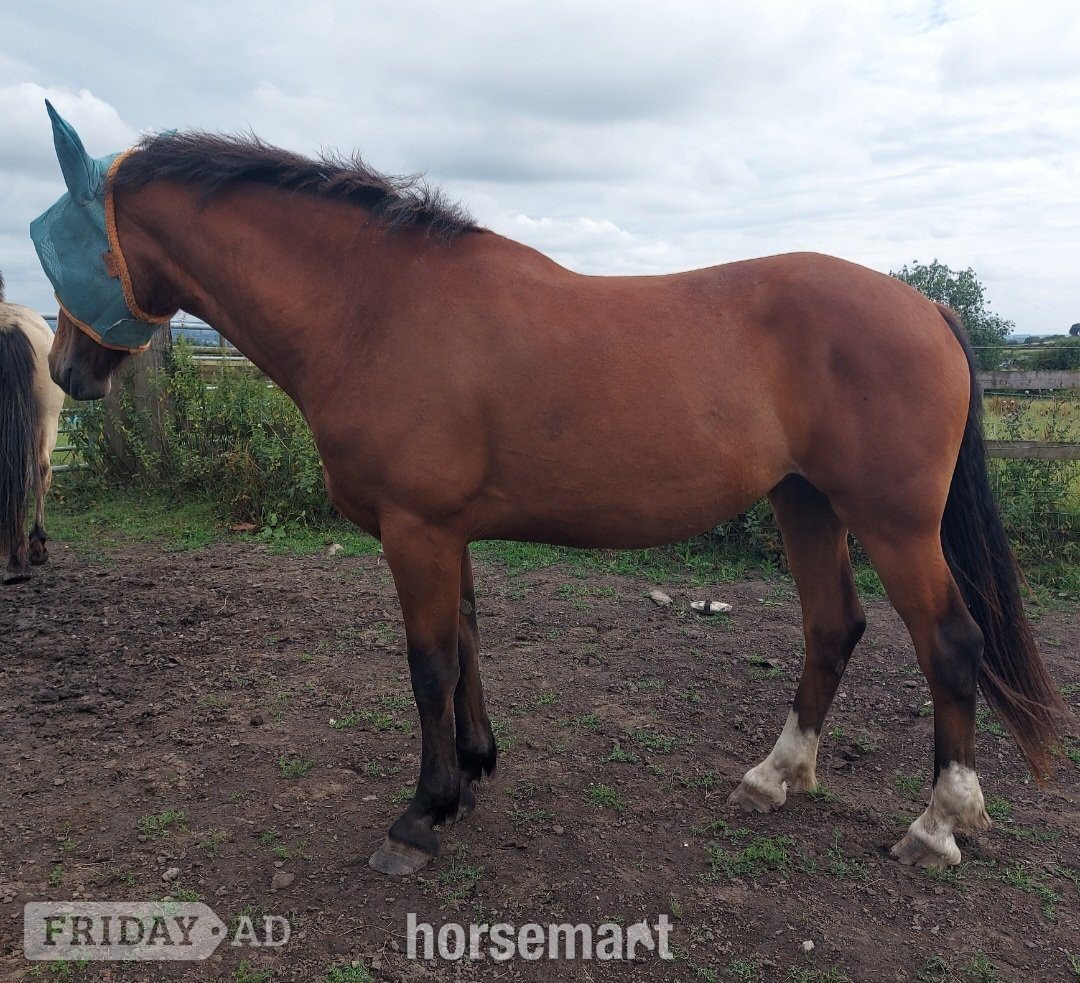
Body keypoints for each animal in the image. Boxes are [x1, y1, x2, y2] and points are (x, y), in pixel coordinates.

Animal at [35, 102, 1068, 876]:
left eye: (62, 240)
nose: (65, 370)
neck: (374, 306)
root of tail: (924, 304)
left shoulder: (415, 529)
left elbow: (429, 664)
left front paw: (422, 813)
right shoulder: (443, 532)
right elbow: (466, 642)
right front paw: (472, 771)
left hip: (893, 521)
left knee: (950, 642)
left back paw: (938, 822)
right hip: (805, 502)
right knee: (832, 627)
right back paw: (776, 775)